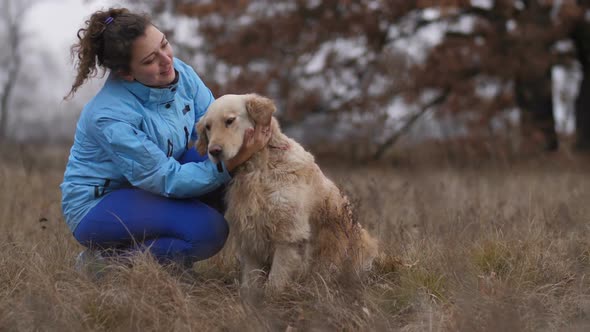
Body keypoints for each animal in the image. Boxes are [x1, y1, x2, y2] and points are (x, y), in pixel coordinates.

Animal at [194, 94, 380, 292]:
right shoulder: (251, 233)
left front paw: (271, 295)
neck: (259, 167)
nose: (214, 151)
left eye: (230, 120)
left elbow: (276, 278)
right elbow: (251, 279)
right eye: (208, 127)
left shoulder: (288, 233)